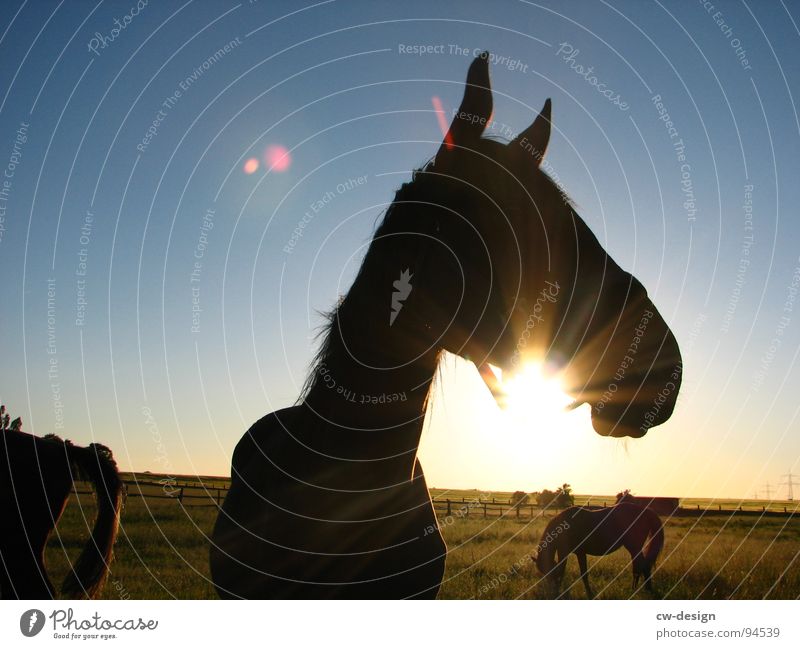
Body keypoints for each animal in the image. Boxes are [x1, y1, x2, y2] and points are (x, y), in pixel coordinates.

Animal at [536, 502, 664, 596]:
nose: (551, 590)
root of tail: (646, 511)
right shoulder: (575, 553)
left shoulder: (572, 552)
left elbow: (572, 572)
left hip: (634, 547)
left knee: (641, 565)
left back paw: (637, 589)